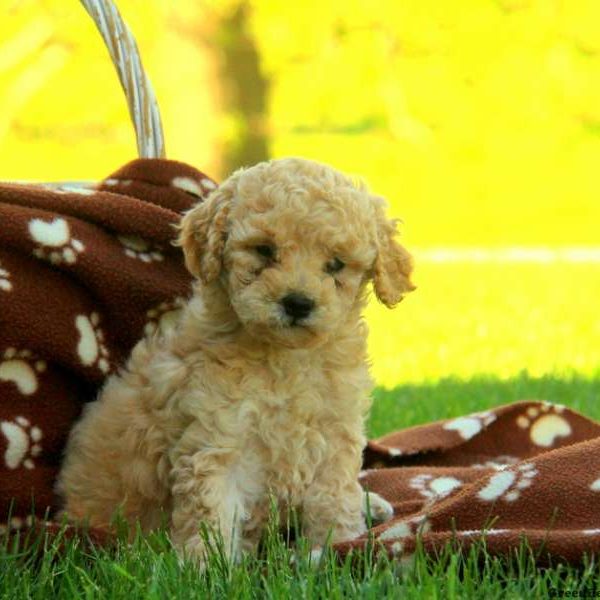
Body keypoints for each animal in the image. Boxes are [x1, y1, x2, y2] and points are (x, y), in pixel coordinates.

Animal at [56, 157, 414, 564]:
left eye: (336, 264)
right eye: (264, 250)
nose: (298, 303)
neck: (286, 360)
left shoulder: (335, 433)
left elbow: (333, 497)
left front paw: (334, 546)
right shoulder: (218, 437)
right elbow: (212, 510)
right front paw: (207, 566)